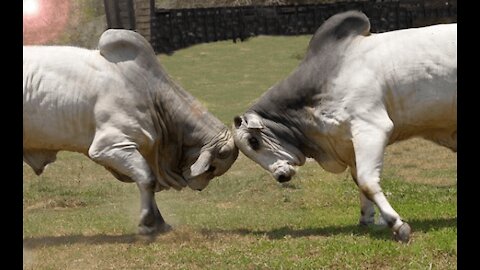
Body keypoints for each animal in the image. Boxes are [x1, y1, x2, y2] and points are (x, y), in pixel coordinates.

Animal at [23, 28, 239, 233]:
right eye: (212, 168)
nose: (200, 187)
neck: (151, 95)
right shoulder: (109, 146)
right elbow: (147, 178)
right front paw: (147, 223)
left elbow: (147, 182)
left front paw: (159, 224)